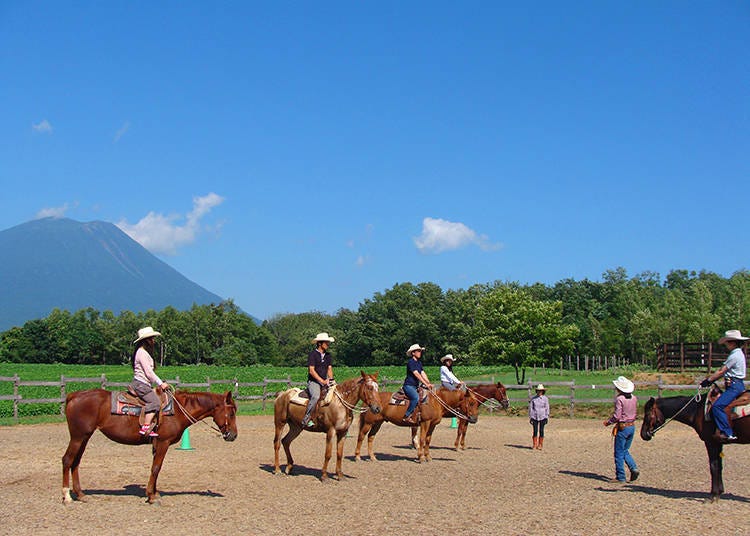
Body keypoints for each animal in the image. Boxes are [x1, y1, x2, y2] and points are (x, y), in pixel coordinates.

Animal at [62, 388, 238, 504]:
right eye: (231, 413)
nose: (233, 435)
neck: (177, 410)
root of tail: (73, 396)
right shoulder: (163, 443)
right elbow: (156, 468)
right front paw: (151, 496)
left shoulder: (157, 444)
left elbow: (156, 468)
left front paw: (155, 492)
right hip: (78, 437)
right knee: (67, 460)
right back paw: (67, 496)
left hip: (84, 437)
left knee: (76, 462)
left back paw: (80, 494)